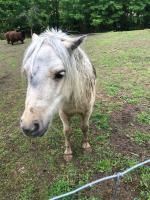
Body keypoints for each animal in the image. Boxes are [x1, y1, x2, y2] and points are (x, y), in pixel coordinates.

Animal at [20, 29, 96, 161]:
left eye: (60, 74)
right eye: (26, 72)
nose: (28, 127)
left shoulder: (87, 111)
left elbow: (85, 127)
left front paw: (86, 145)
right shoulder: (63, 113)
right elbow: (67, 131)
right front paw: (68, 152)